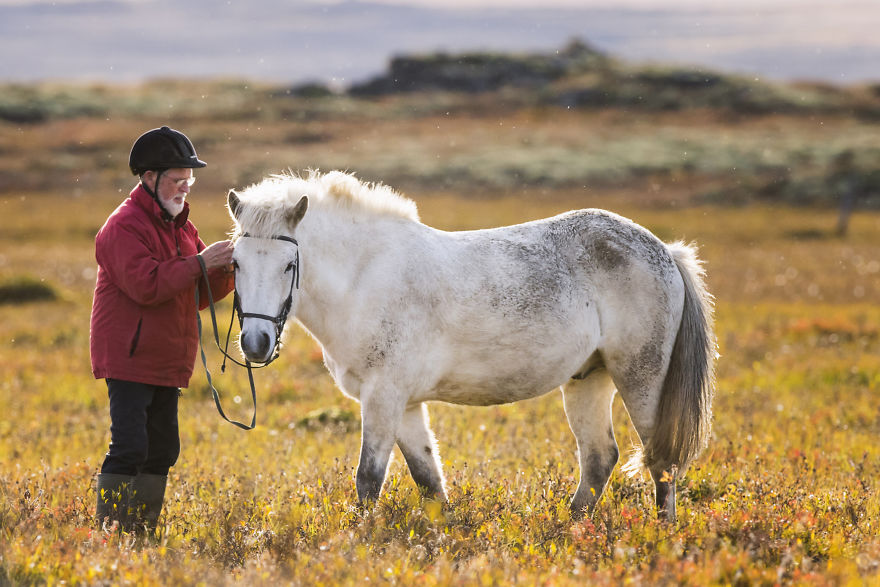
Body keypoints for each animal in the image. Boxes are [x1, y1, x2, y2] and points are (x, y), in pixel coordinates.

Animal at [225, 170, 715, 521]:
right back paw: (570, 528)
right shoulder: (404, 404)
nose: (255, 342)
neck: (363, 276)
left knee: (661, 460)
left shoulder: (382, 397)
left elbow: (368, 479)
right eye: (235, 263)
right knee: (599, 458)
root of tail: (665, 251)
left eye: (289, 265)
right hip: (588, 379)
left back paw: (662, 535)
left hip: (641, 379)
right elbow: (428, 480)